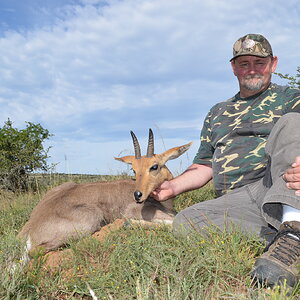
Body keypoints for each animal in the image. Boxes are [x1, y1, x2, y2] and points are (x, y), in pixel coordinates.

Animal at [18, 129, 192, 258]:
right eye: (133, 169)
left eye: (154, 166)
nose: (137, 195)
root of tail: (30, 226)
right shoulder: (134, 211)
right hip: (91, 218)